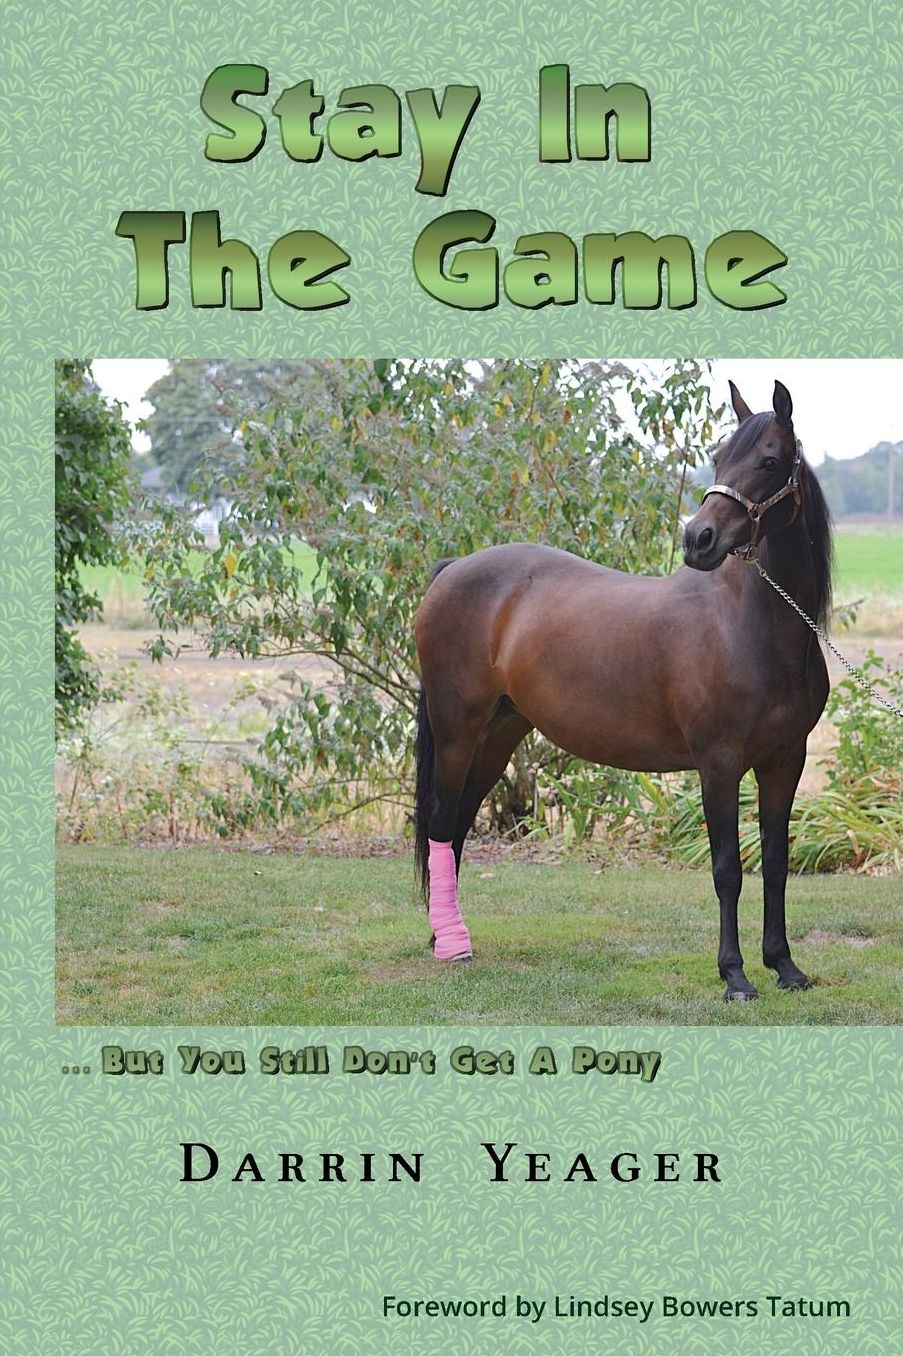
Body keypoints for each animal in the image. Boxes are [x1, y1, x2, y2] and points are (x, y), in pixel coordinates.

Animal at [413, 380, 833, 1001]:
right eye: (718, 458)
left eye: (770, 461)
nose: (698, 539)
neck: (751, 625)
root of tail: (454, 568)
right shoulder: (719, 763)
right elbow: (728, 870)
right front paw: (734, 976)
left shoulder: (785, 761)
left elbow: (775, 866)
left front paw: (784, 966)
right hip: (457, 729)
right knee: (442, 823)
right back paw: (452, 945)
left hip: (498, 733)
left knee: (458, 823)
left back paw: (445, 937)